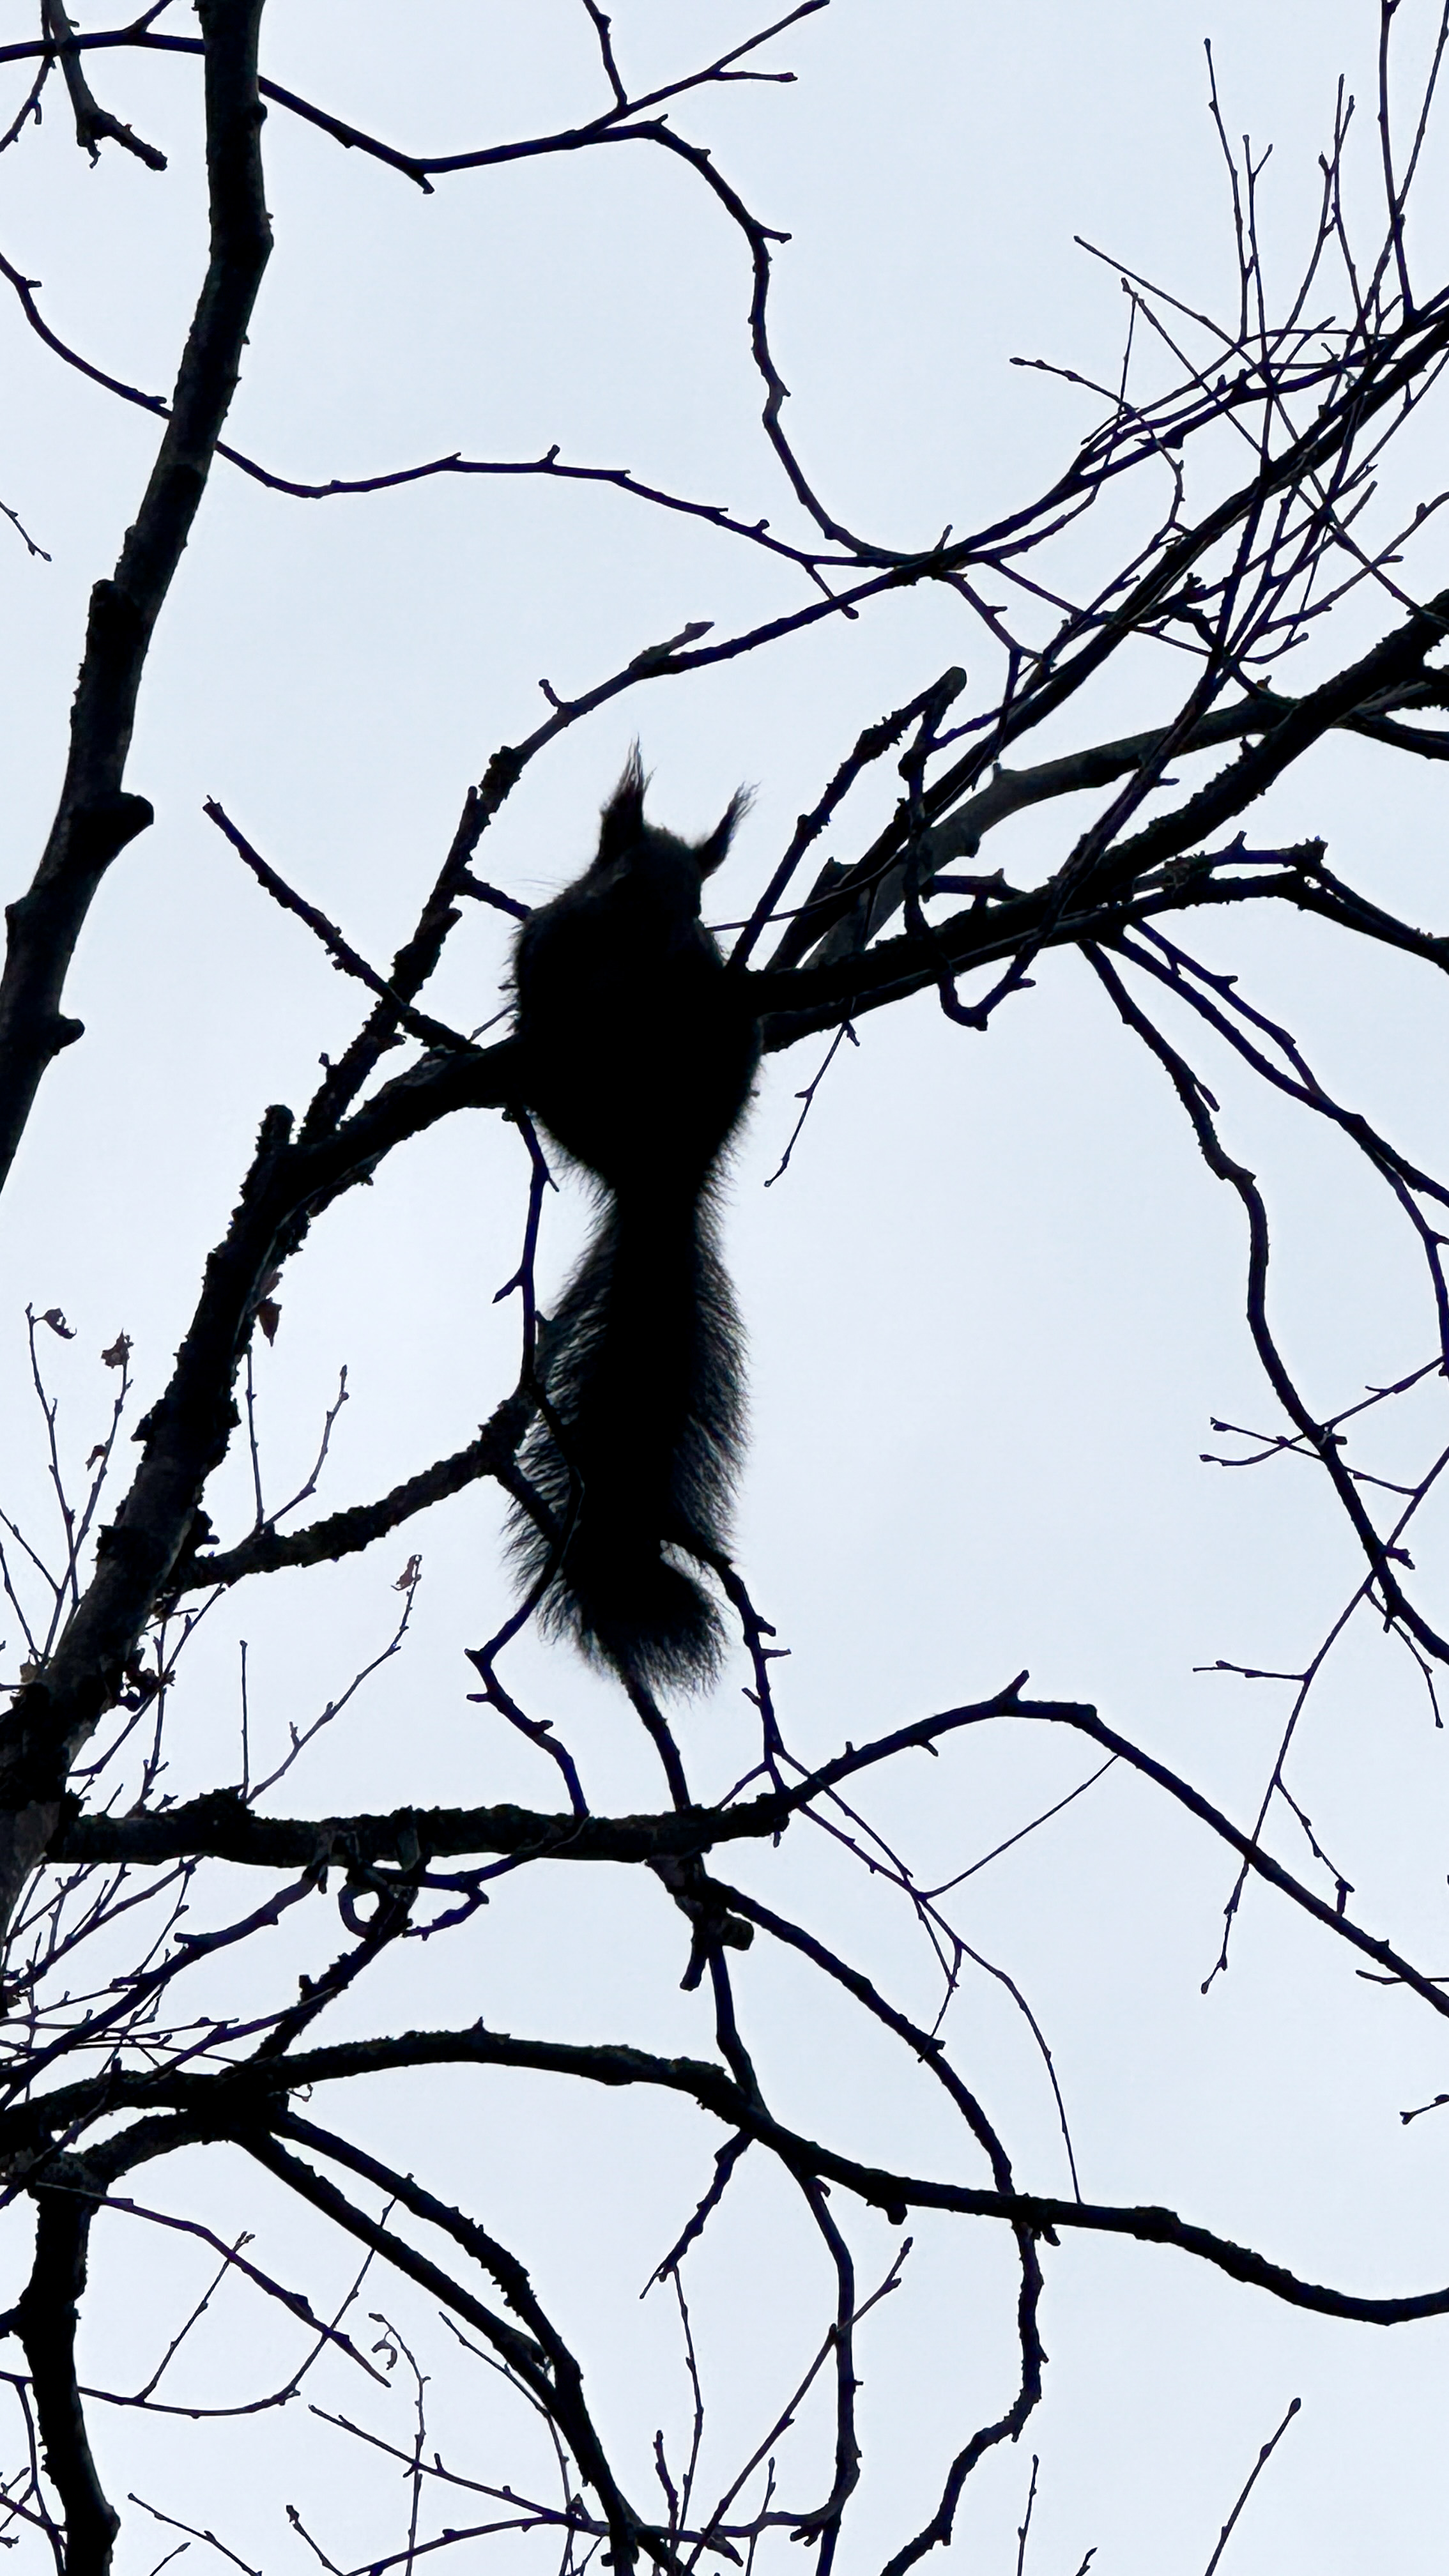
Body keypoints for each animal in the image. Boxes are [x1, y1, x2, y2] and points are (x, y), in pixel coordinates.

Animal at [508, 750, 759, 1690]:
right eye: (616, 876)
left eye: (699, 904)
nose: (667, 935)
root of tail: (660, 1181)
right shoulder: (549, 945)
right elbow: (543, 968)